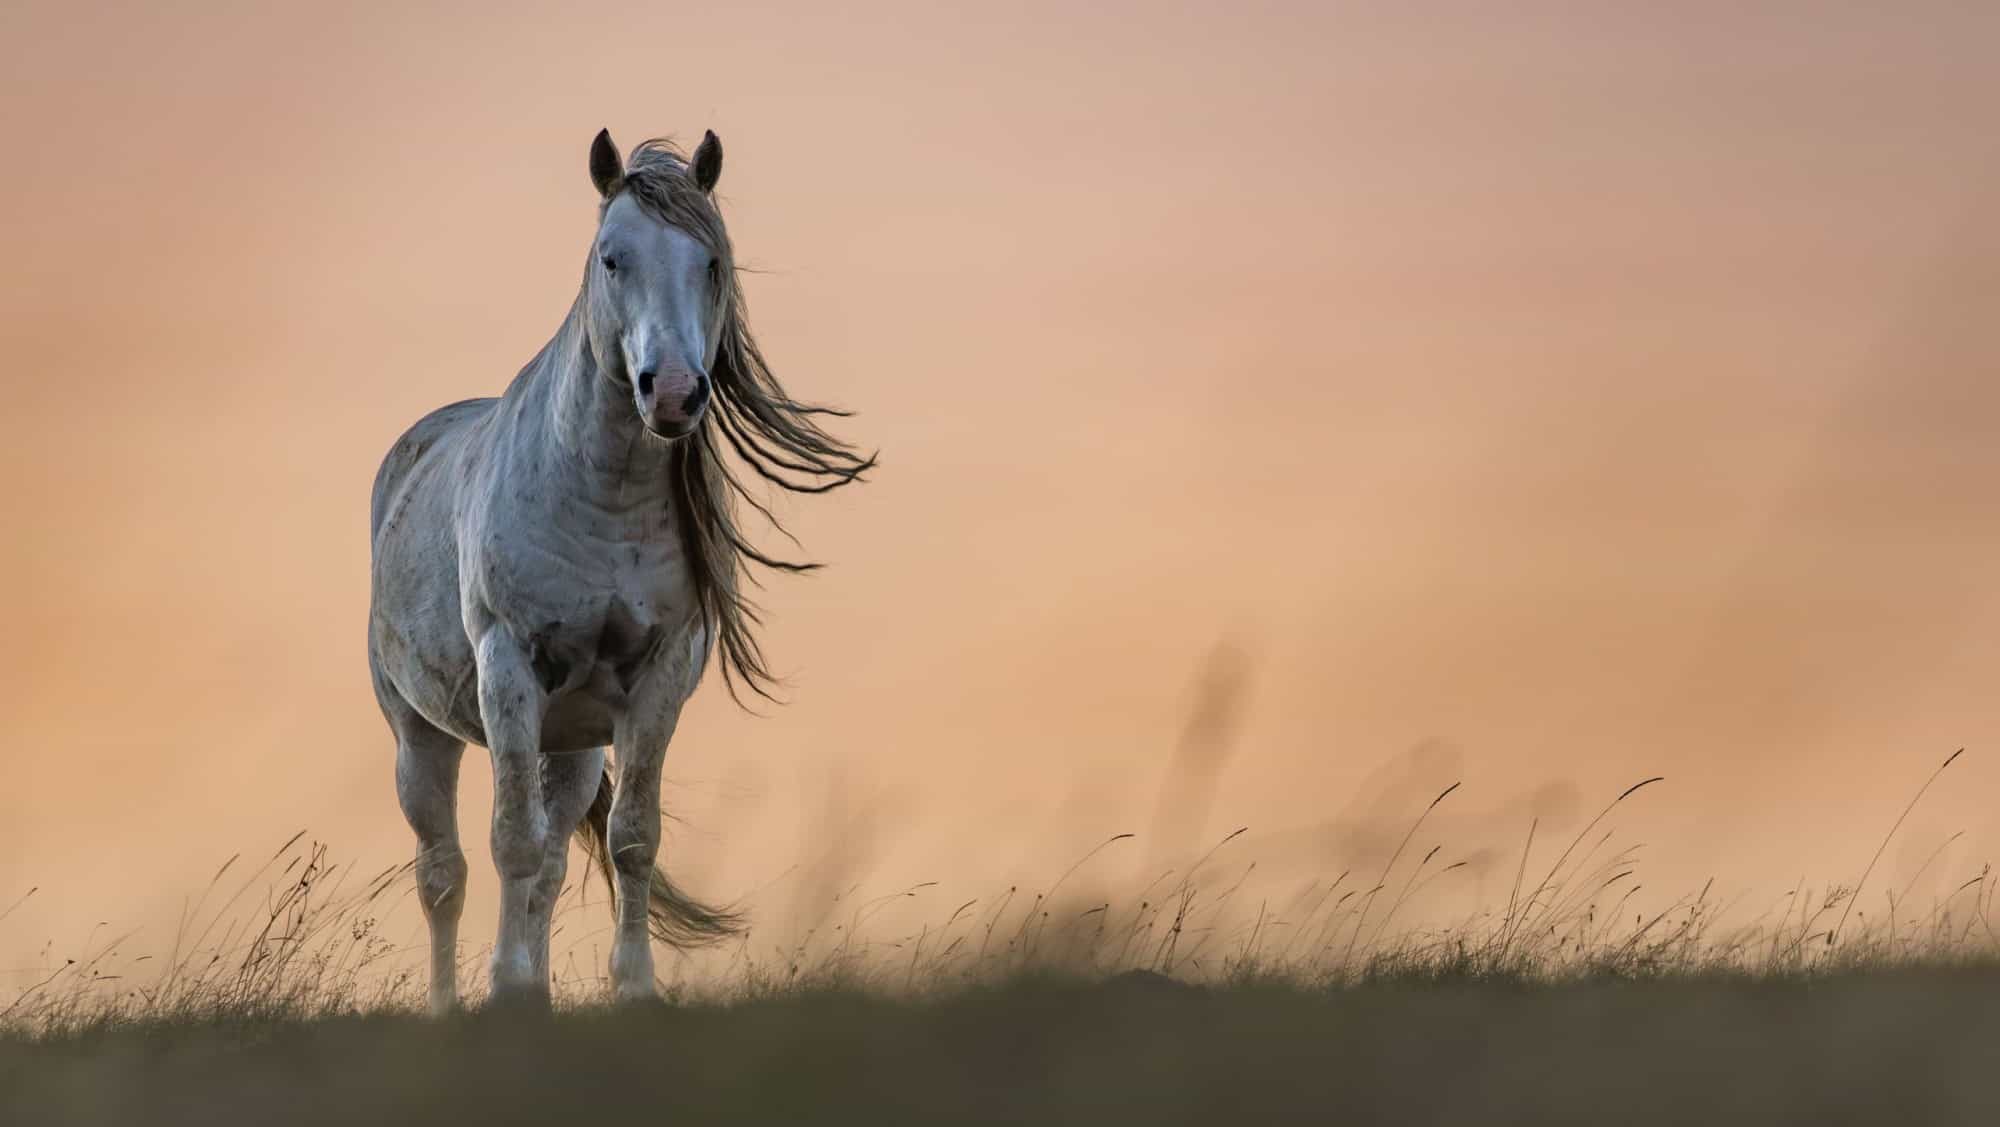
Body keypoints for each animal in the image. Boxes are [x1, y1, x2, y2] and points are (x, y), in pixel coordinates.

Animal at [367, 127, 870, 1012]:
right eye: (612, 257)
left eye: (711, 260)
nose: (670, 392)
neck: (603, 500)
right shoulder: (508, 667)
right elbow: (509, 842)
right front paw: (506, 994)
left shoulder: (657, 678)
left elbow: (632, 837)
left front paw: (632, 988)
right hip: (420, 734)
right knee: (445, 873)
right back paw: (452, 1003)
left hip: (569, 748)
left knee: (551, 858)